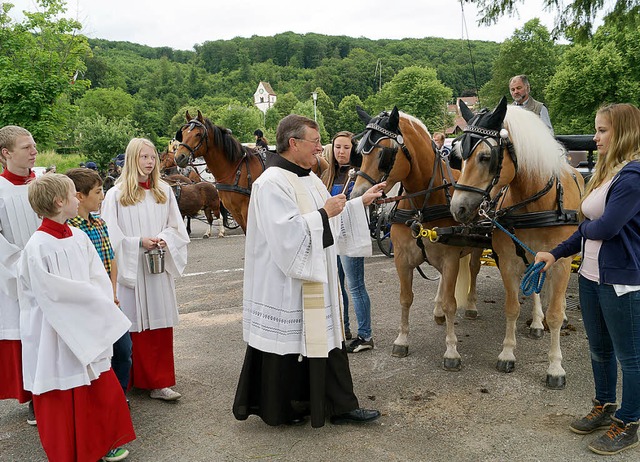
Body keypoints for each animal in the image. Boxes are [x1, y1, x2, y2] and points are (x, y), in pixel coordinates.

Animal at [350, 106, 484, 370]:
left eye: (384, 155)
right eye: (359, 153)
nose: (359, 195)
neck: (423, 204)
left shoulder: (450, 258)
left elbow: (452, 303)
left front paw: (451, 350)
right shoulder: (402, 259)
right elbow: (405, 299)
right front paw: (402, 340)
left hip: (474, 247)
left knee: (473, 270)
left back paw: (472, 306)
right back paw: (438, 310)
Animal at [450, 96, 584, 386]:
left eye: (485, 156)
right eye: (458, 158)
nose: (457, 208)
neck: (535, 203)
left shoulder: (560, 262)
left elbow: (555, 313)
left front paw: (555, 367)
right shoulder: (509, 260)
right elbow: (512, 307)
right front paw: (508, 354)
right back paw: (535, 321)